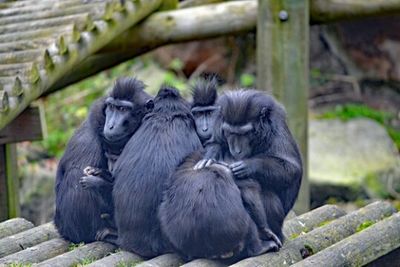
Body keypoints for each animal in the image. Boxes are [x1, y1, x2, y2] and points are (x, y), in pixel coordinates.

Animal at [205, 90, 302, 247]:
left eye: (244, 133)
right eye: (230, 132)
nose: (236, 149)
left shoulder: (276, 130)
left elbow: (291, 168)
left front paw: (248, 165)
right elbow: (215, 142)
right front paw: (209, 157)